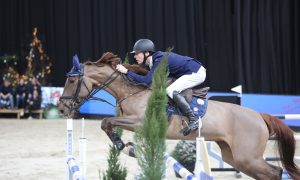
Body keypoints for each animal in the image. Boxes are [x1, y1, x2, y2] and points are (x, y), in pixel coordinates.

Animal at [60, 52, 300, 180]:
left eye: (71, 80)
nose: (62, 109)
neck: (133, 91)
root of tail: (260, 116)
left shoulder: (139, 122)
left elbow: (106, 121)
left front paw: (126, 147)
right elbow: (107, 124)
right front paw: (125, 146)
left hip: (247, 157)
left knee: (275, 172)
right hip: (235, 157)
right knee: (269, 173)